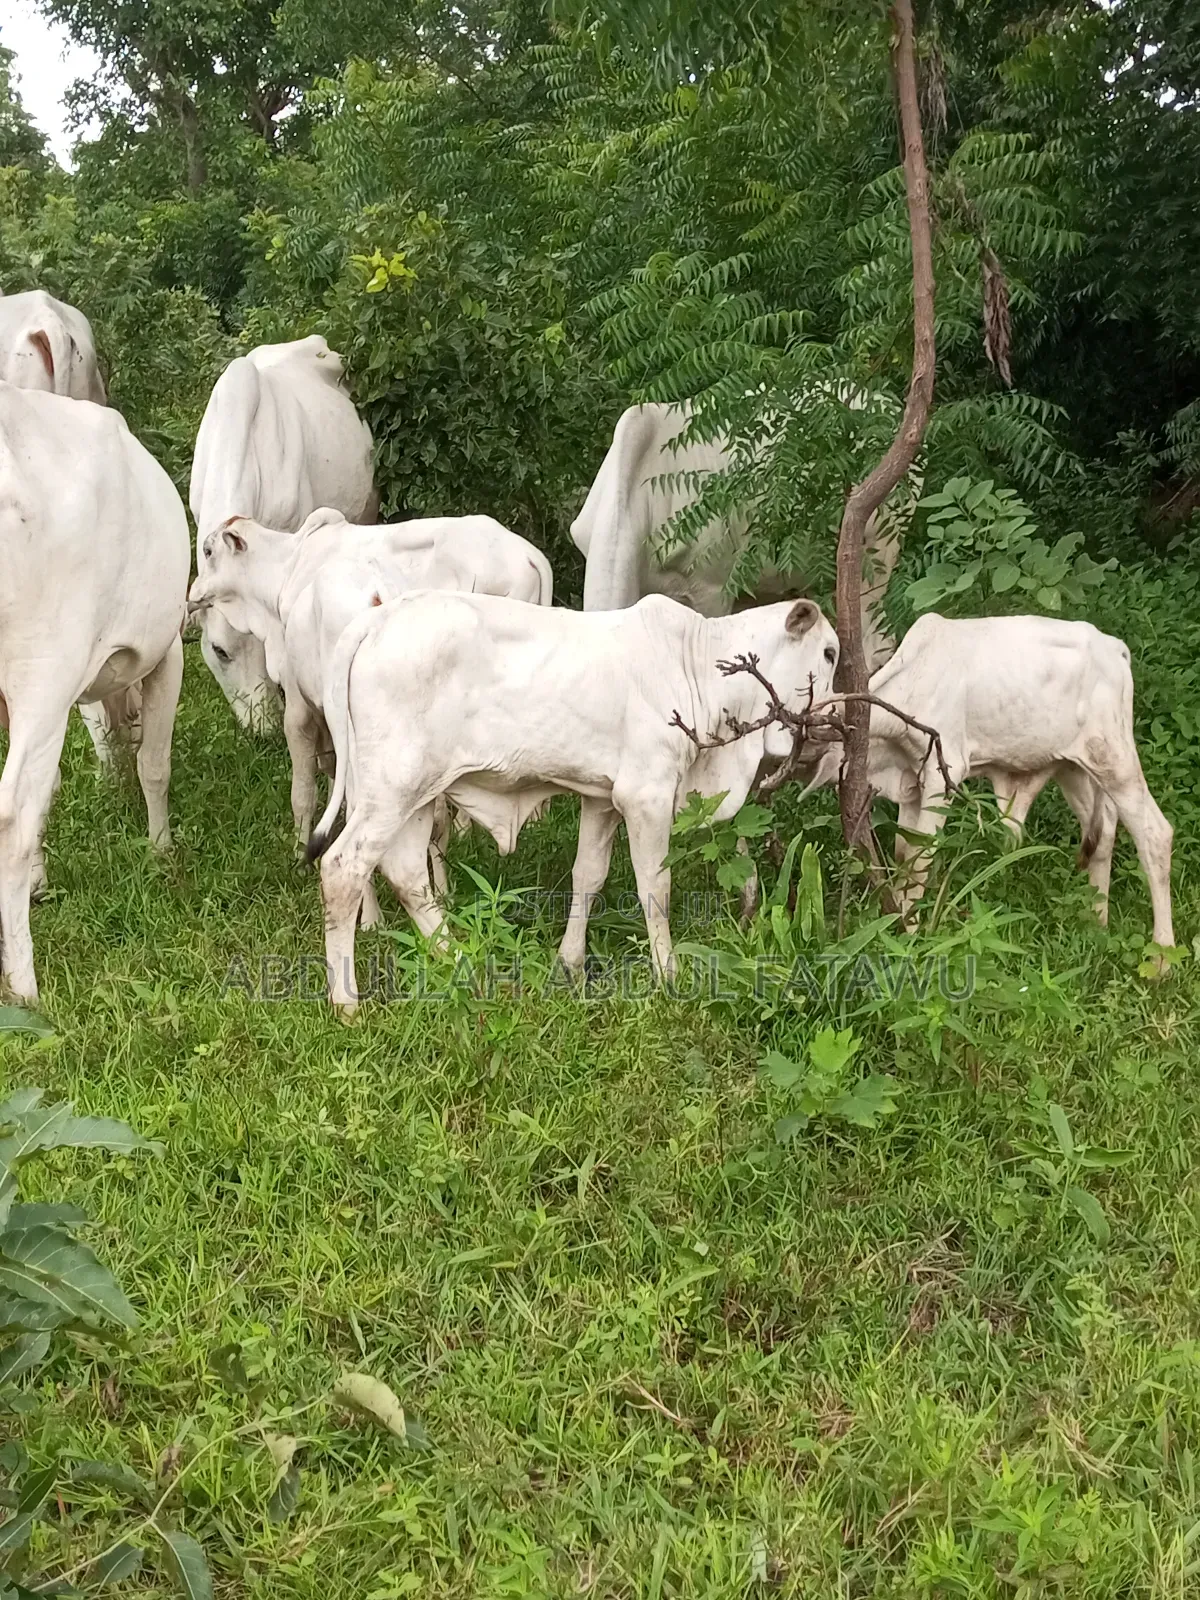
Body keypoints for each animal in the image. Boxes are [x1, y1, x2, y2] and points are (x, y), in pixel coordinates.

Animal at [0, 382, 189, 1004]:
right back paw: (25, 985)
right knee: (11, 816)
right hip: (43, 671)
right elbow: (155, 763)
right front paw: (161, 850)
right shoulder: (166, 651)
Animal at [187, 508, 553, 848]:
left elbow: (304, 790)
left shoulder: (298, 704)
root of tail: (529, 555)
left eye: (208, 550)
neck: (287, 568)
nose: (192, 594)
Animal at [306, 591, 839, 1012]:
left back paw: (463, 963)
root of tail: (379, 617)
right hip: (390, 790)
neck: (700, 670)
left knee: (408, 874)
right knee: (342, 867)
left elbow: (588, 876)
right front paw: (668, 976)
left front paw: (570, 965)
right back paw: (347, 1003)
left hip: (417, 793)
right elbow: (656, 888)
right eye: (830, 653)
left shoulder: (603, 798)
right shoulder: (646, 794)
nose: (832, 721)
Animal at [797, 614, 1174, 950]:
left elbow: (920, 860)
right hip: (1074, 766)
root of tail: (1114, 647)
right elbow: (904, 855)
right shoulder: (912, 783)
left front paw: (912, 937)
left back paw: (1162, 955)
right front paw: (902, 923)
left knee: (1154, 833)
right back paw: (1097, 923)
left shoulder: (943, 773)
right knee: (1103, 835)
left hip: (1114, 756)